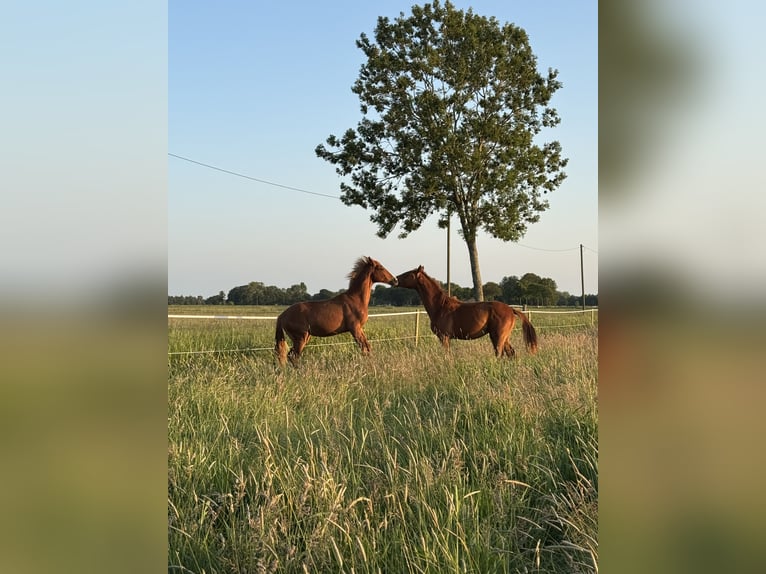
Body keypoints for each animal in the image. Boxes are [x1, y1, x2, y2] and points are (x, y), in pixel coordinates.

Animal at [396, 265, 538, 357]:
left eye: (407, 274)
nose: (395, 279)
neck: (440, 306)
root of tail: (510, 309)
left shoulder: (444, 337)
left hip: (498, 336)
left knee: (500, 354)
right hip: (504, 337)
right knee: (511, 353)